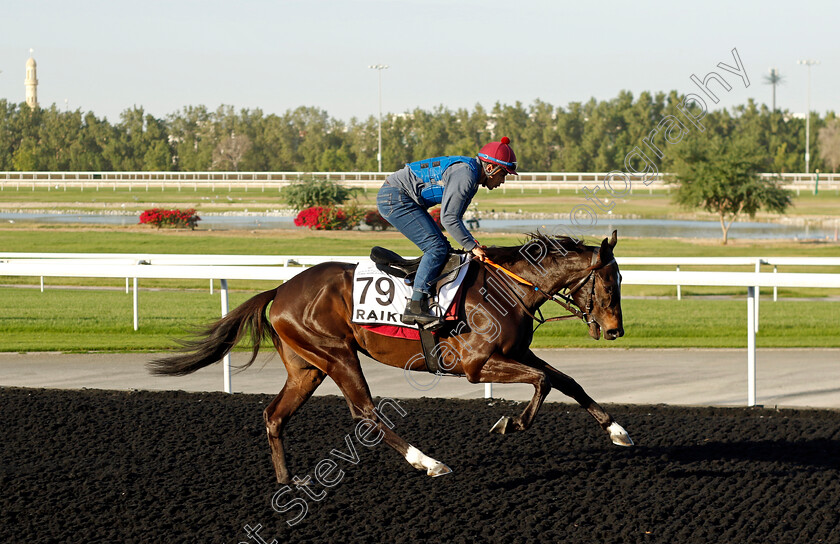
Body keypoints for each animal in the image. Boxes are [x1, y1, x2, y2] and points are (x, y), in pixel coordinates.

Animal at [148, 232, 632, 482]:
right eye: (610, 282)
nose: (615, 330)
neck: (506, 287)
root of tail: (281, 289)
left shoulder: (518, 351)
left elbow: (566, 380)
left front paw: (617, 430)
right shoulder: (475, 366)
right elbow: (543, 382)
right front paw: (509, 423)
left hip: (308, 367)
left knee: (274, 414)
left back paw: (288, 481)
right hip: (337, 354)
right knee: (366, 412)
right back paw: (428, 462)